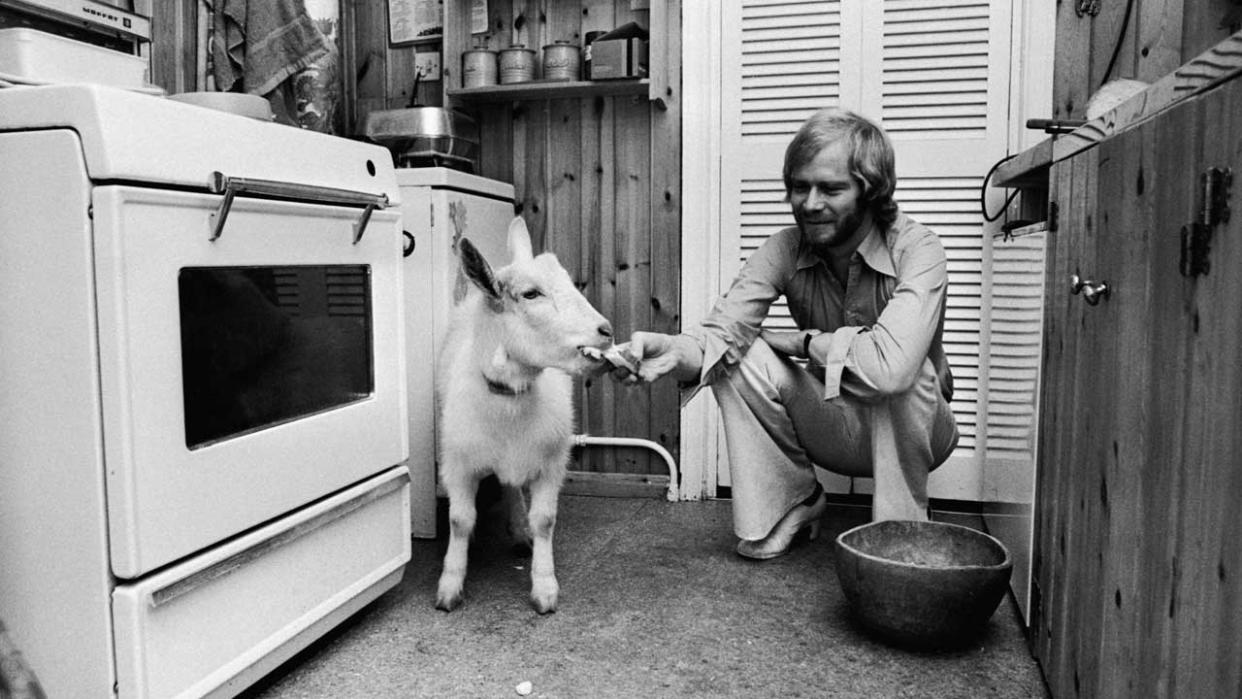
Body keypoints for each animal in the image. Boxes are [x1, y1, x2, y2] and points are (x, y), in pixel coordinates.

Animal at [434, 217, 613, 613]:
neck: (510, 403)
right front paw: (449, 586)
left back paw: (519, 532)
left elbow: (544, 520)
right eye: (531, 294)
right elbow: (459, 520)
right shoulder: (458, 464)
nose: (606, 331)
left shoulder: (550, 462)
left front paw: (544, 588)